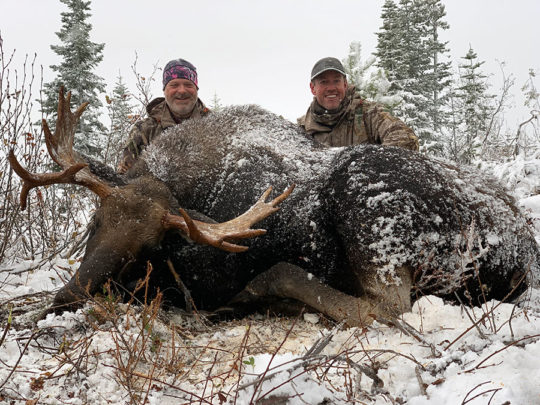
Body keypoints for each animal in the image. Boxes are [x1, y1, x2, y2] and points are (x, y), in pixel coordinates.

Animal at [9, 88, 540, 326]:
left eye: (151, 245)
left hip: (369, 203)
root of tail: (524, 251)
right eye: (95, 223)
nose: (64, 300)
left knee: (386, 307)